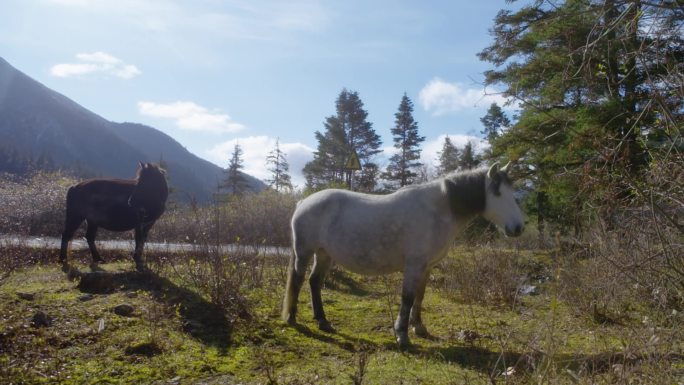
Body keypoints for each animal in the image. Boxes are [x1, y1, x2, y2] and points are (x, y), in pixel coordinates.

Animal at [284, 160, 524, 346]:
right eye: (498, 193)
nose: (518, 228)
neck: (438, 210)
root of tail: (304, 201)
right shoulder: (414, 264)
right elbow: (407, 297)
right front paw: (402, 334)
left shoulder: (426, 266)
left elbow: (420, 295)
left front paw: (418, 327)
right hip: (304, 252)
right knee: (298, 281)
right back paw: (292, 318)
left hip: (324, 254)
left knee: (314, 282)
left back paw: (322, 321)